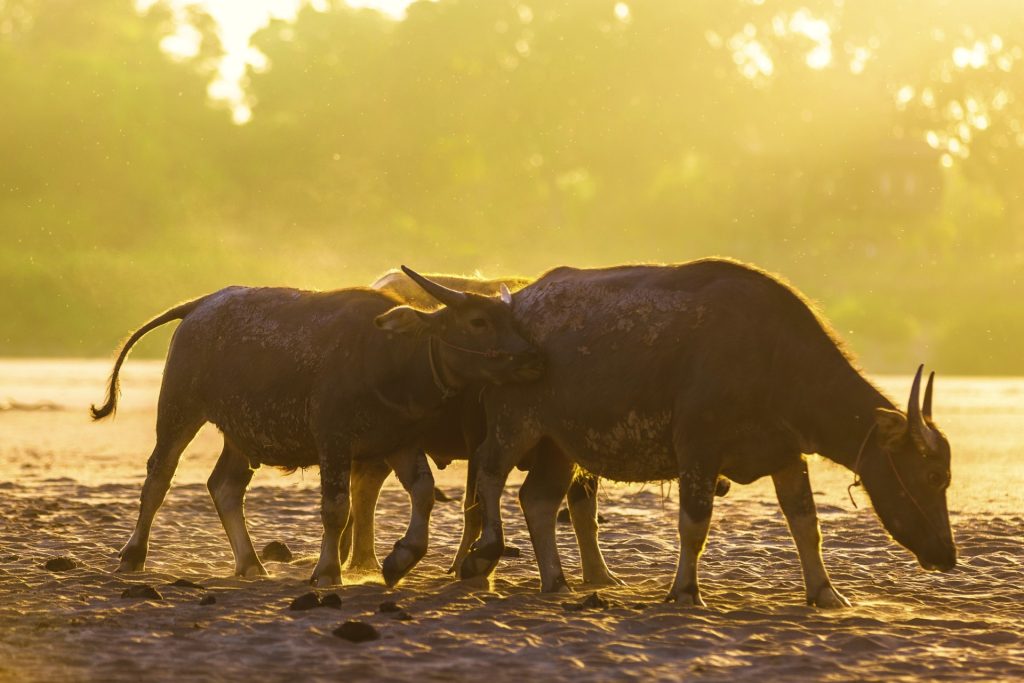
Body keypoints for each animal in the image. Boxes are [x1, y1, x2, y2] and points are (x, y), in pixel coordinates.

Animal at [461, 258, 956, 607]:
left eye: (946, 478)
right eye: (934, 476)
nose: (948, 555)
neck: (774, 359)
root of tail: (516, 303)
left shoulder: (785, 455)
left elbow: (806, 525)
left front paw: (826, 593)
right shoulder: (698, 449)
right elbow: (694, 525)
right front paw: (685, 592)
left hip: (558, 444)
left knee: (538, 500)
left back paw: (557, 580)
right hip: (513, 424)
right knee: (489, 473)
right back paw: (484, 553)